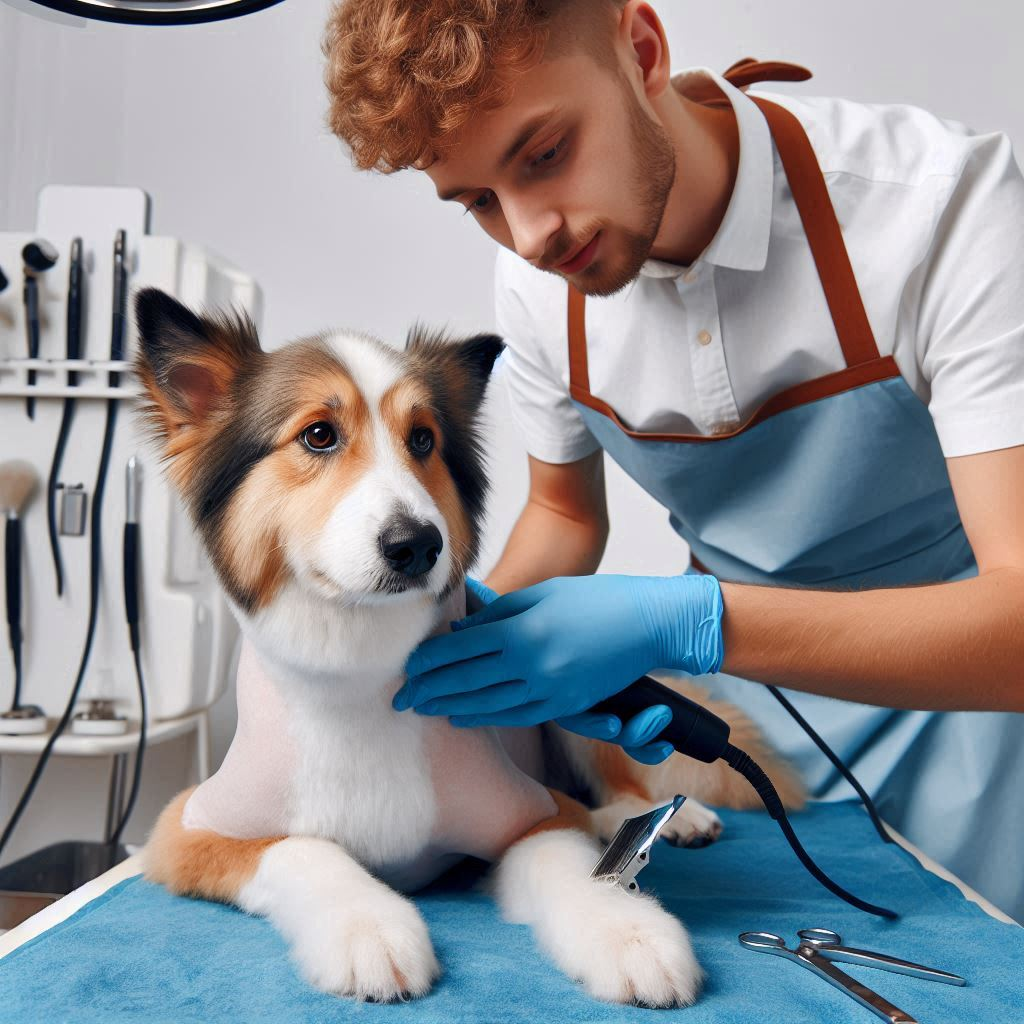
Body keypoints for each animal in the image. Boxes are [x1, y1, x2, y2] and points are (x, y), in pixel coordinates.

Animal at [132, 288, 802, 1007]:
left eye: (423, 439)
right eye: (318, 435)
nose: (417, 544)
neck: (365, 678)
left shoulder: (537, 811)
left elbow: (570, 862)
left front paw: (627, 931)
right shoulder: (190, 828)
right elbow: (307, 850)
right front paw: (368, 929)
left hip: (577, 704)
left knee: (619, 786)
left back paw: (671, 818)